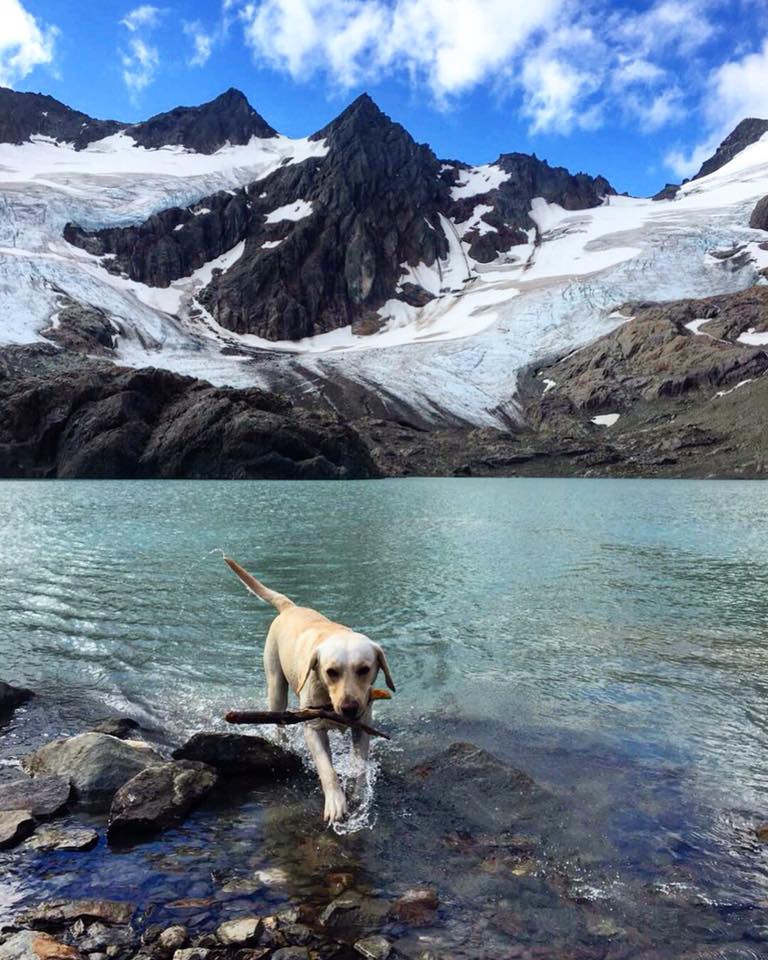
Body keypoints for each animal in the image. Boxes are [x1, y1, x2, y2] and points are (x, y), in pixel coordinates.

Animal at [224, 560, 396, 820]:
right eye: (331, 671)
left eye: (364, 669)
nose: (348, 708)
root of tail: (290, 607)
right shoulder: (313, 729)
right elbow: (327, 769)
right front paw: (336, 801)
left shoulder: (362, 726)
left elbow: (359, 764)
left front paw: (358, 792)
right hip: (276, 686)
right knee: (279, 720)